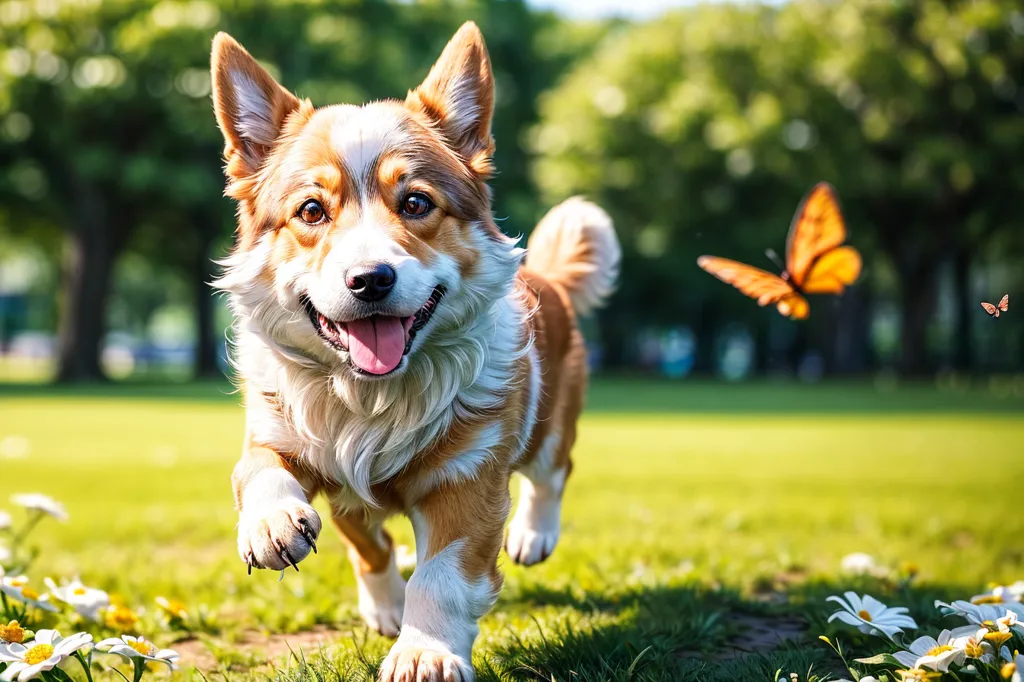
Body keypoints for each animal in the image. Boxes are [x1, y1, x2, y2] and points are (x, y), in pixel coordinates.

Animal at [211, 22, 618, 679]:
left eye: (417, 203)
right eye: (311, 210)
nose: (370, 280)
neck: (372, 402)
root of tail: (550, 279)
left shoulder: (469, 482)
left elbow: (442, 578)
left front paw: (425, 651)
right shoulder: (285, 438)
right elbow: (266, 478)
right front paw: (276, 527)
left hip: (549, 424)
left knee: (555, 469)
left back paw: (533, 535)